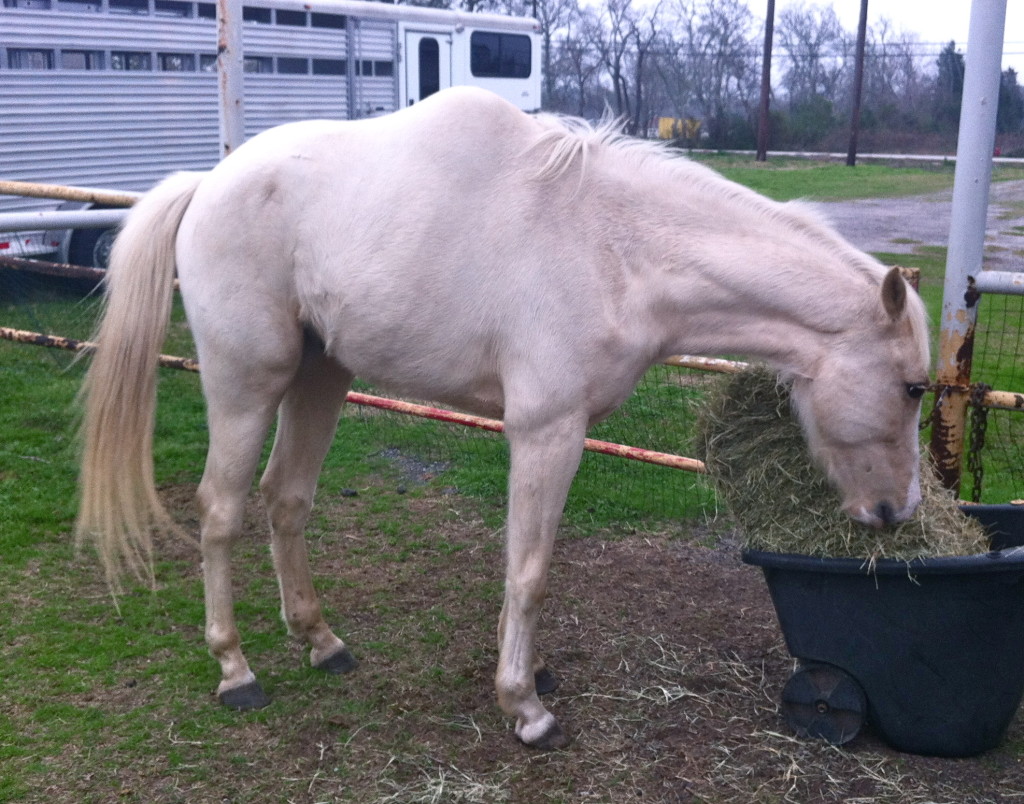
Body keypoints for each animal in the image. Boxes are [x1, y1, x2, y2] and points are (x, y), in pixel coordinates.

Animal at [75, 86, 933, 745]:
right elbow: (529, 571)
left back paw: (322, 642)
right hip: (246, 385)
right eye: (913, 388)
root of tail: (207, 183)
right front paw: (524, 708)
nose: (896, 511)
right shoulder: (548, 432)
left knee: (286, 501)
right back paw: (235, 670)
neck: (617, 249)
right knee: (220, 512)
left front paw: (525, 673)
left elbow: (520, 563)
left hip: (322, 377)